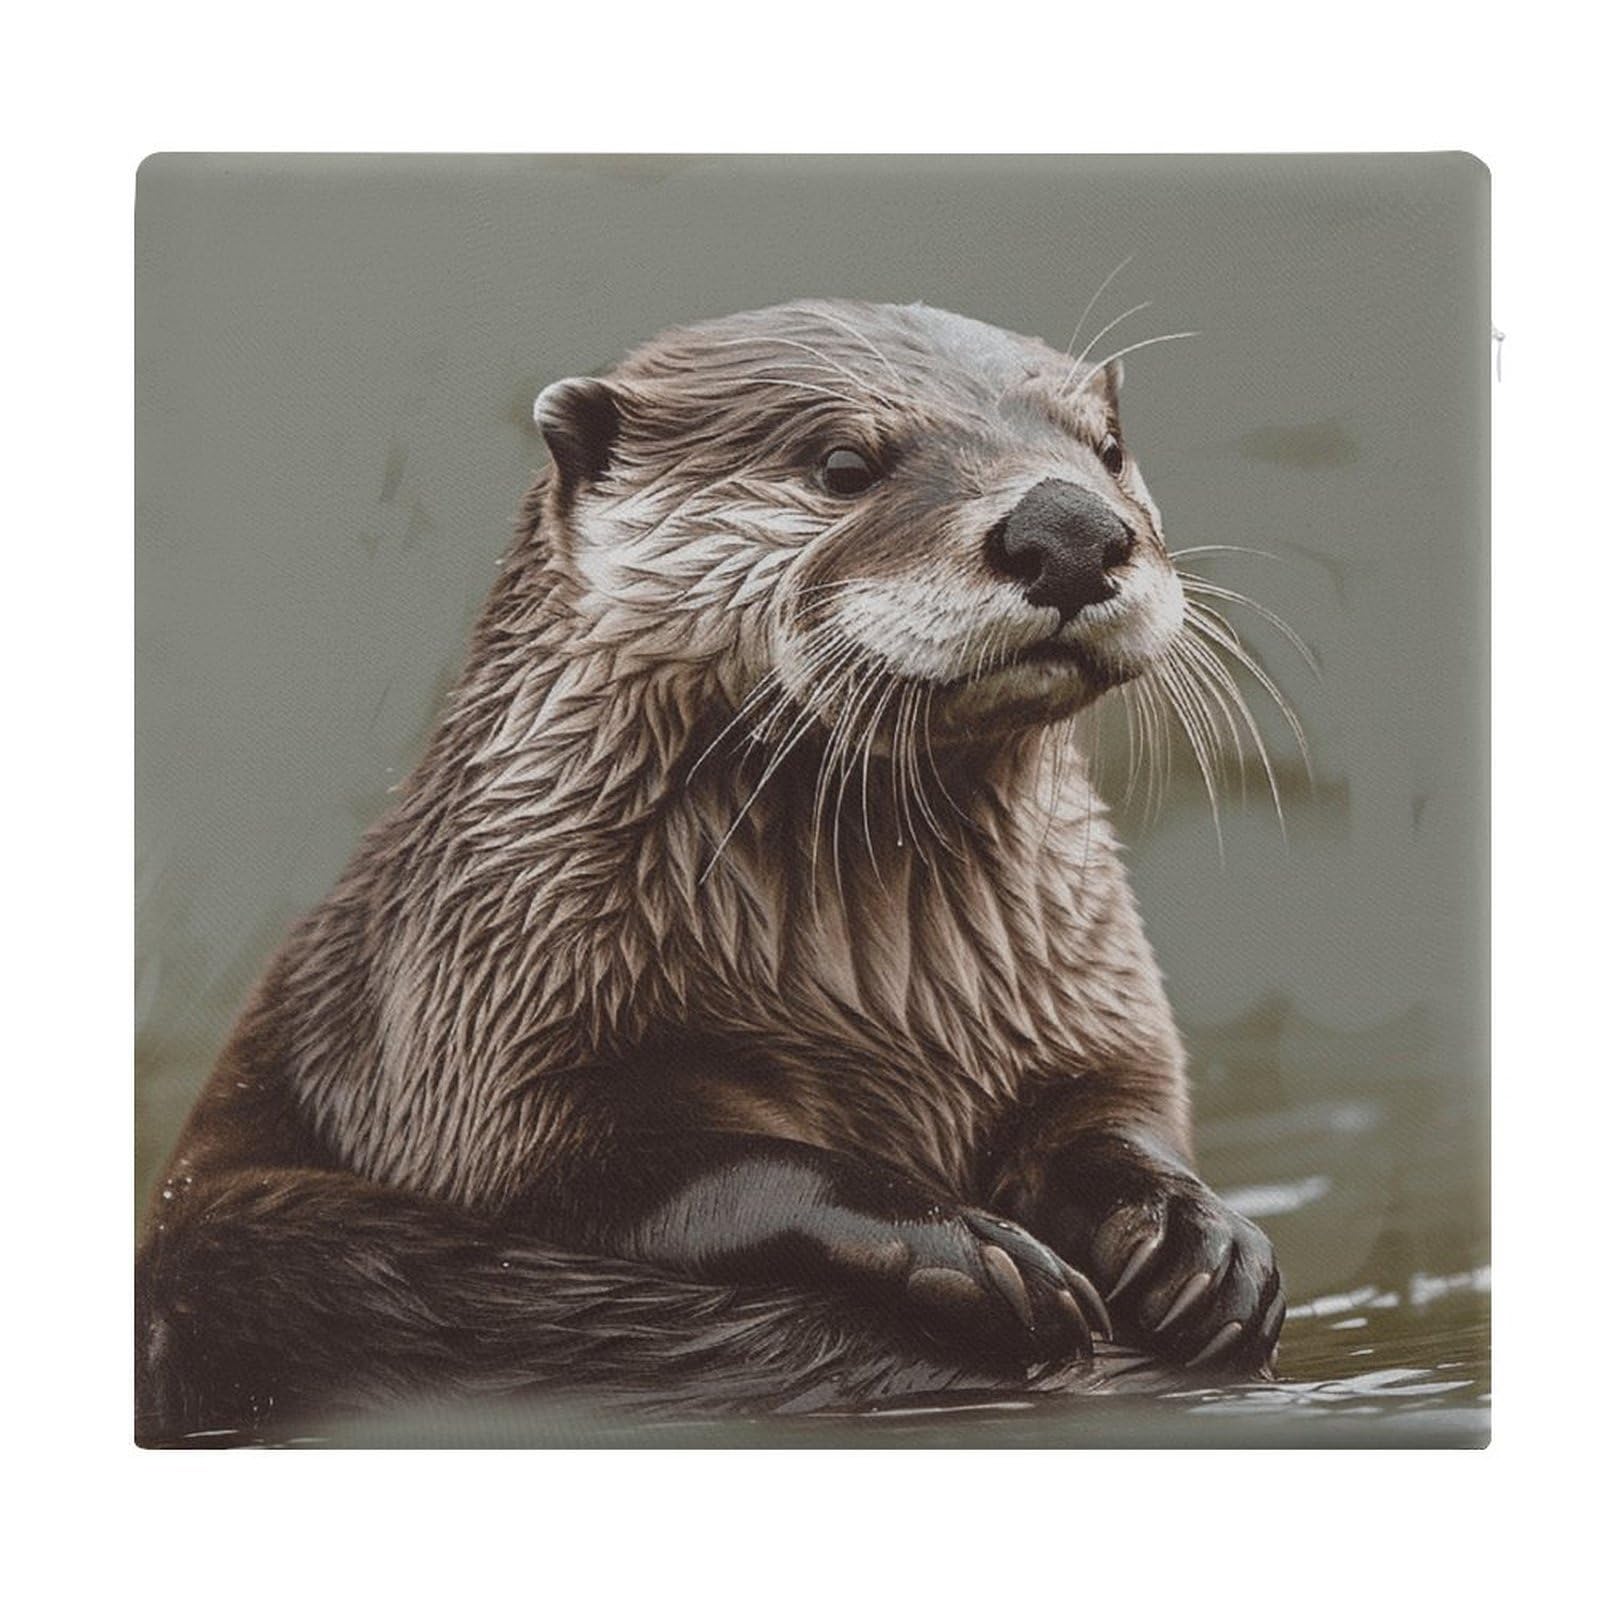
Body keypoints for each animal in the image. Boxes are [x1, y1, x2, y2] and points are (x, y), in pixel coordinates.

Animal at [136, 298, 1285, 1442]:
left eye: (1106, 449)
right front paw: (965, 1242)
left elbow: (1111, 1115)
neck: (881, 1004)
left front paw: (1203, 1236)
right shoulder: (476, 1031)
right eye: (841, 463)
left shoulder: (1084, 1006)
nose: (1070, 529)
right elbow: (649, 1165)